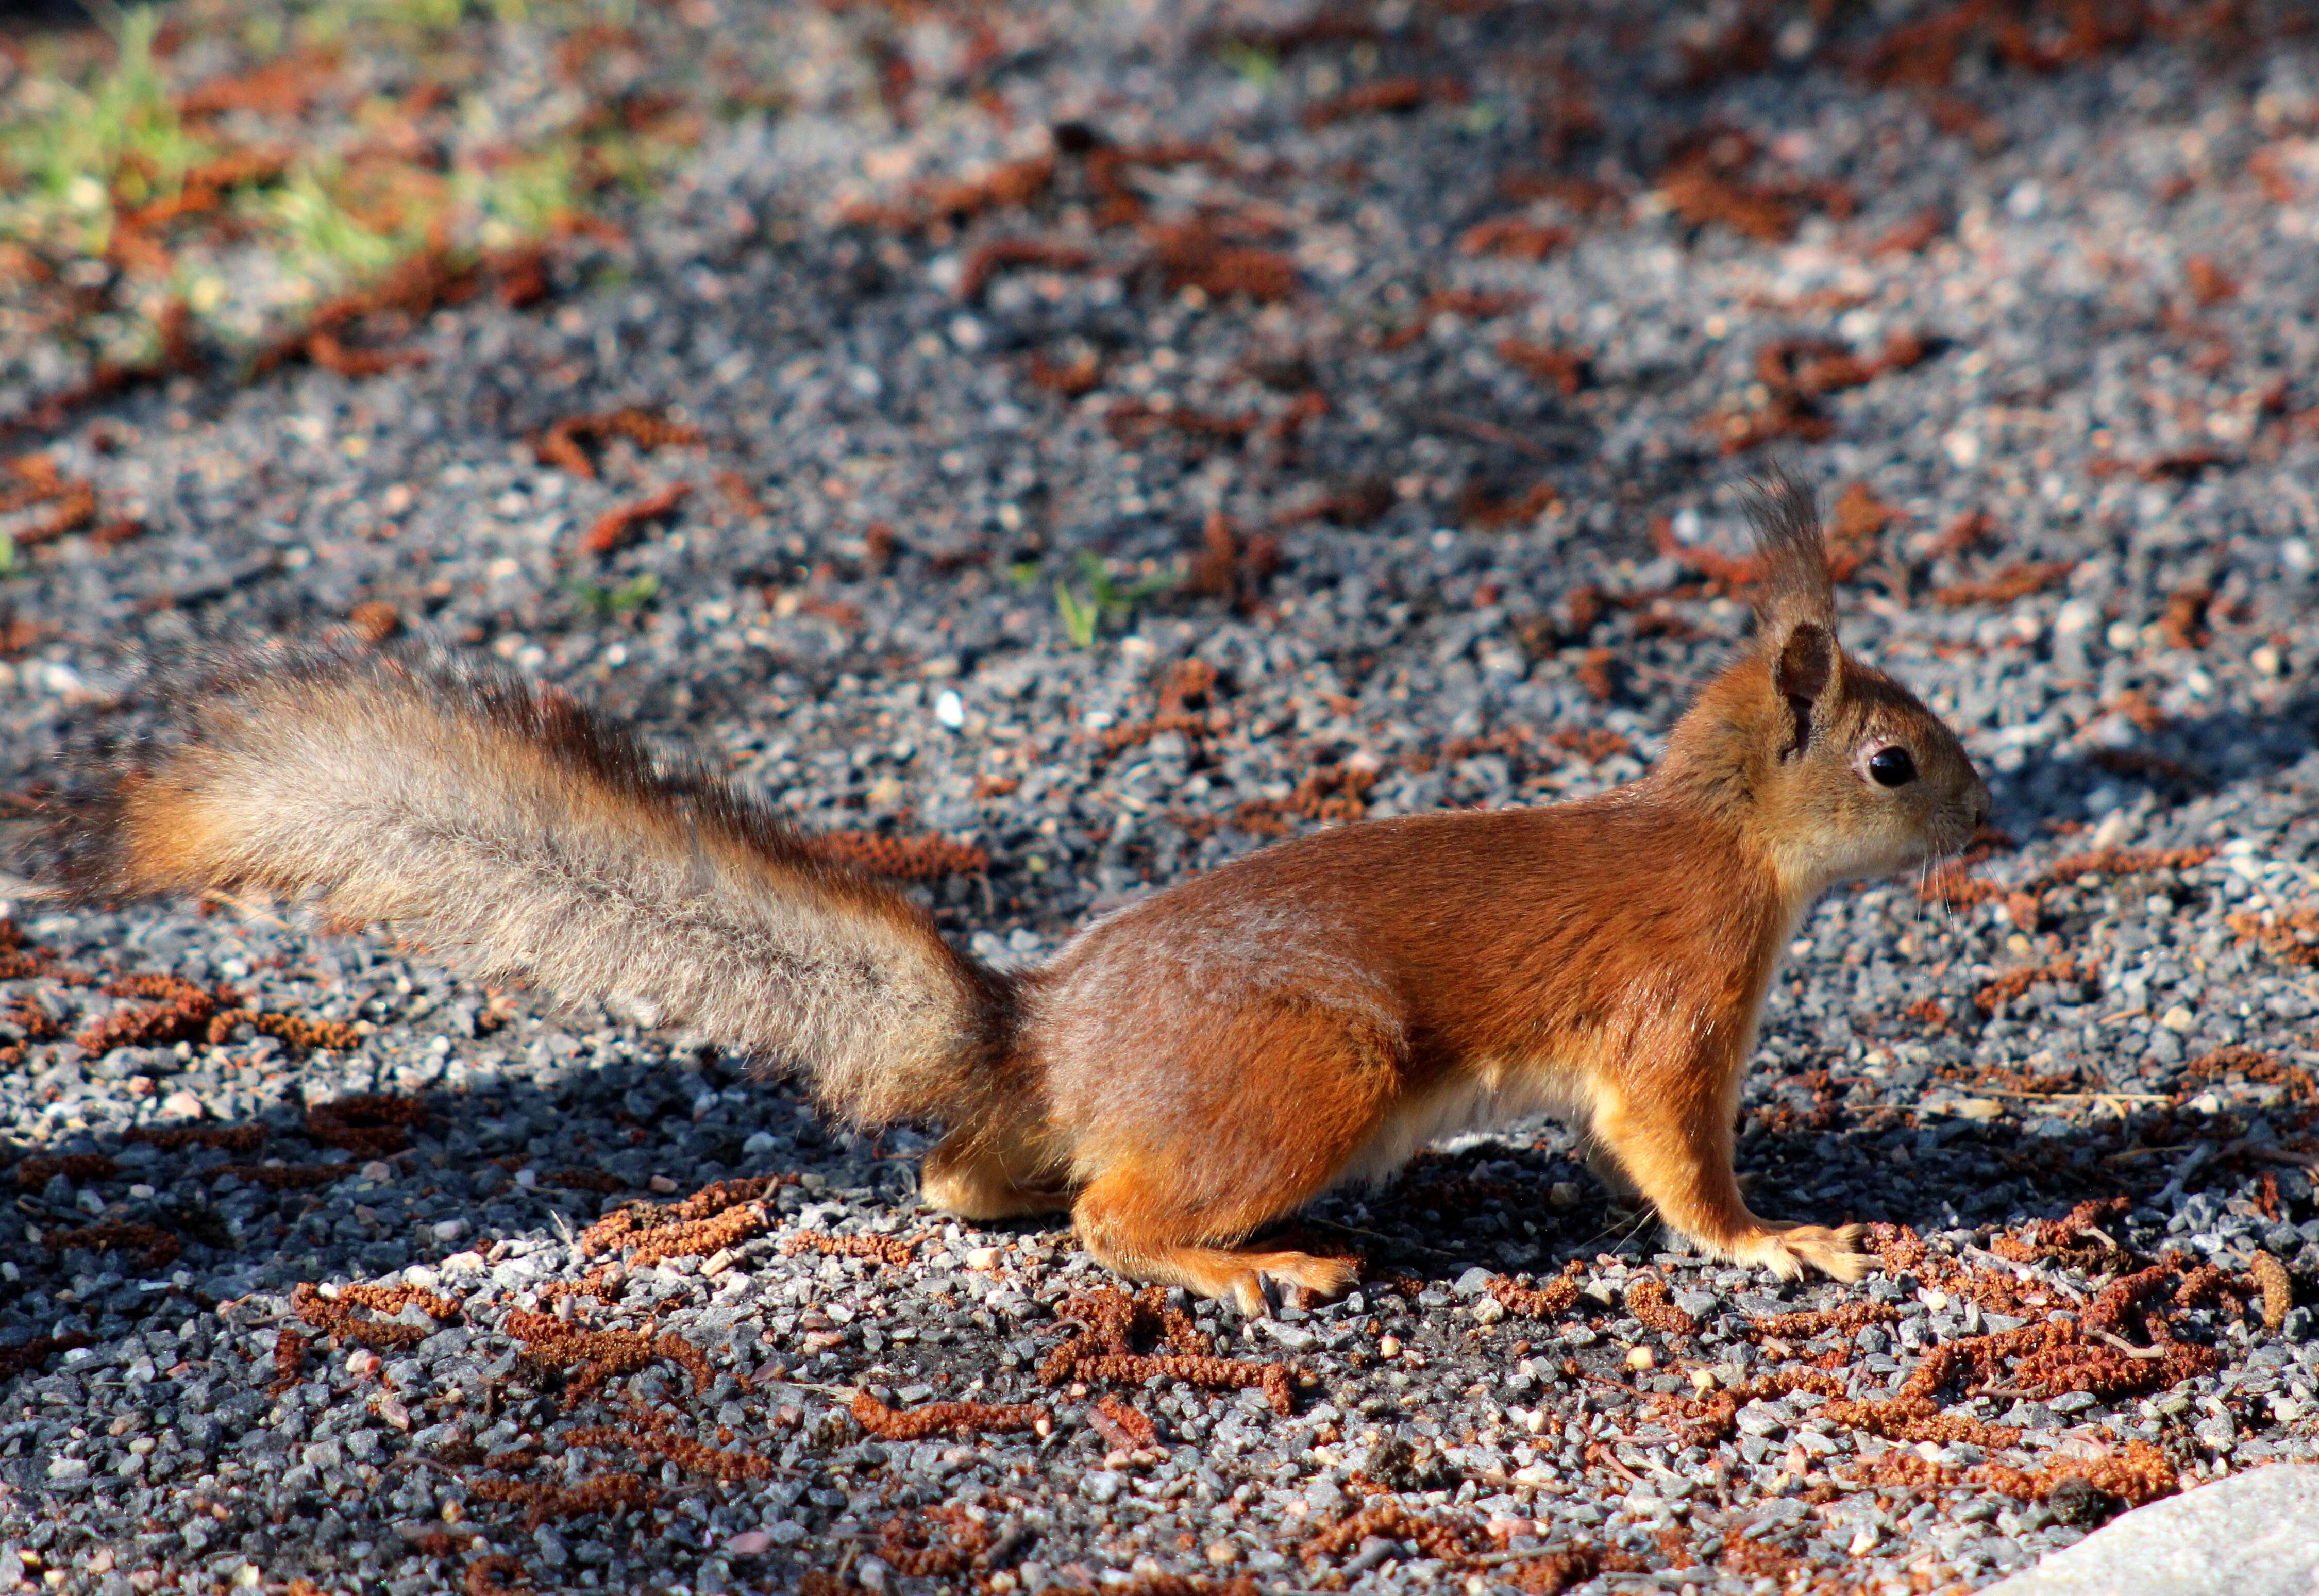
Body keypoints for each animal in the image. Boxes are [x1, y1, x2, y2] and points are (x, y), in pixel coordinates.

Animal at [45, 471, 1985, 1308]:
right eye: (1894, 761)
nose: (1986, 810)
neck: (1730, 842)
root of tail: (1047, 1037)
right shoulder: (1678, 997)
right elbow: (1679, 1162)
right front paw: (1786, 1237)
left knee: (969, 1183)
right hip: (1313, 1072)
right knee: (1114, 1219)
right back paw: (1254, 1270)